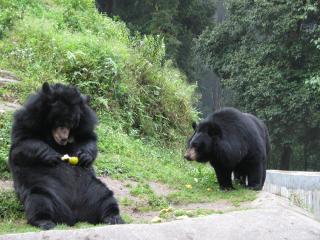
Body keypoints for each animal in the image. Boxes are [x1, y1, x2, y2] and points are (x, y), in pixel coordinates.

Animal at [9, 83, 124, 231]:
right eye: (59, 122)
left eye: (72, 123)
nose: (64, 138)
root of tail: (74, 215)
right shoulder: (29, 119)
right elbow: (23, 142)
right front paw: (51, 155)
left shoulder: (84, 121)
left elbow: (88, 137)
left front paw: (84, 156)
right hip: (43, 189)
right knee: (39, 201)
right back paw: (45, 222)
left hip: (92, 188)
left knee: (106, 198)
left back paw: (113, 217)